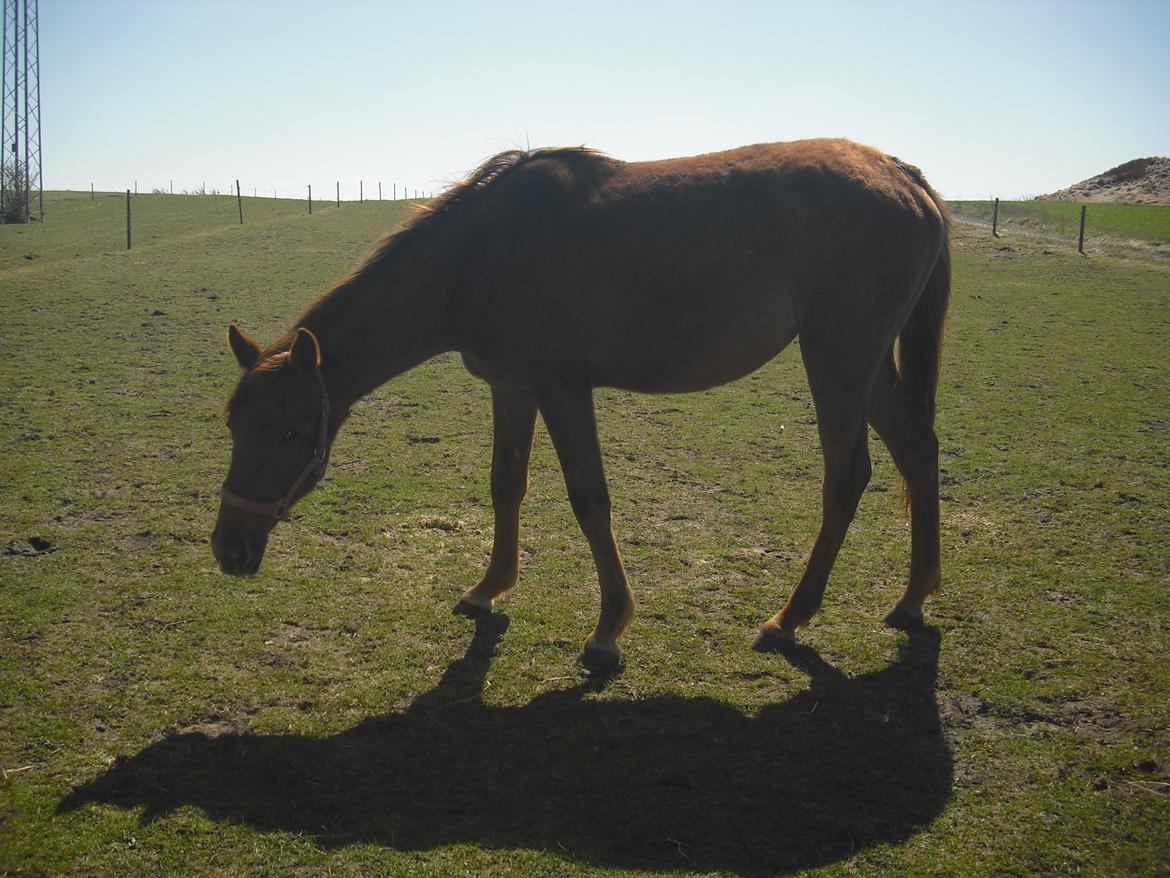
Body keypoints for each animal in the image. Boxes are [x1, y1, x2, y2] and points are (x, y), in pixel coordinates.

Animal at [212, 139, 950, 674]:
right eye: (233, 426)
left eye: (288, 432)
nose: (229, 549)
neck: (480, 252)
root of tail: (901, 174)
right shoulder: (511, 389)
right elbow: (505, 485)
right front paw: (489, 587)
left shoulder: (562, 389)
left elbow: (589, 499)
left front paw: (608, 628)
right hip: (864, 367)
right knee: (917, 450)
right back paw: (913, 599)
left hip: (838, 359)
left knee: (847, 478)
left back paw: (789, 619)